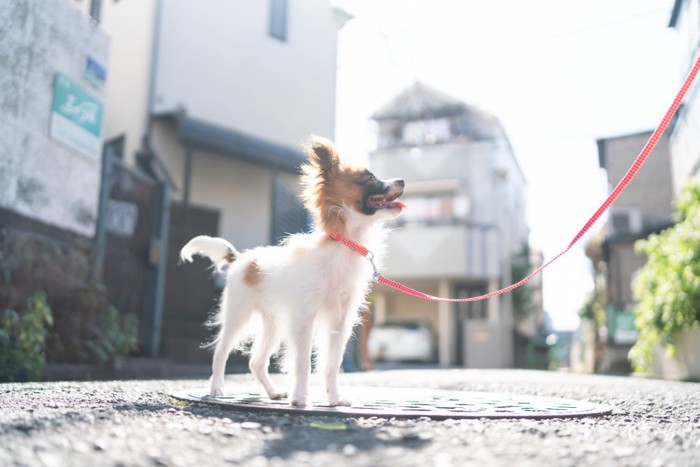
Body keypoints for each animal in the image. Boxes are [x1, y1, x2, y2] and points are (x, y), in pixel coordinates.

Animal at [179, 135, 404, 406]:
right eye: (370, 178)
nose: (402, 180)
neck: (344, 246)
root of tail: (241, 258)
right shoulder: (303, 319)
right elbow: (303, 363)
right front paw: (300, 398)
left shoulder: (339, 322)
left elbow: (331, 365)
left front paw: (335, 399)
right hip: (238, 317)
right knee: (220, 353)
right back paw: (217, 388)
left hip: (274, 324)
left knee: (256, 361)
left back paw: (273, 392)